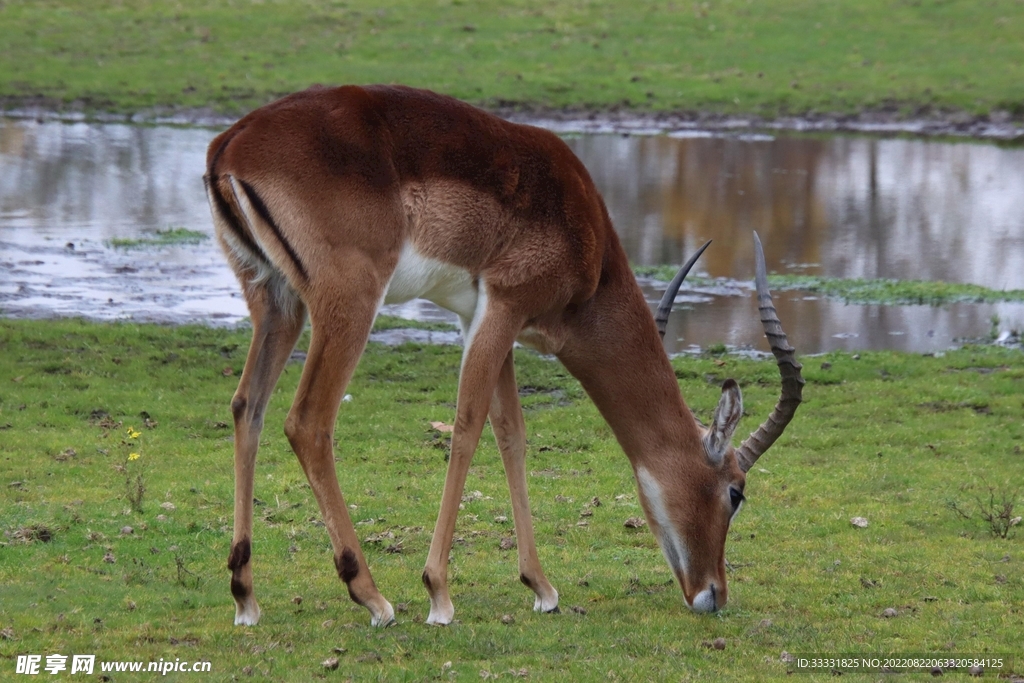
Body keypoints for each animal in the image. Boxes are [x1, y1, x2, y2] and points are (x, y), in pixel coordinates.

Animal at [204, 84, 803, 628]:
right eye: (735, 493)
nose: (714, 595)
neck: (584, 234)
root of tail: (230, 145)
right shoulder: (505, 306)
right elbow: (469, 427)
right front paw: (439, 595)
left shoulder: (484, 318)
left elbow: (511, 432)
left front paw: (541, 587)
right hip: (348, 303)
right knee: (307, 421)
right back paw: (373, 598)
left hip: (275, 301)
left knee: (247, 407)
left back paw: (244, 595)